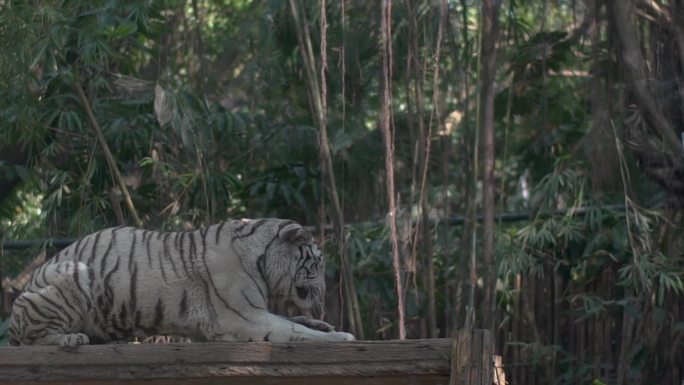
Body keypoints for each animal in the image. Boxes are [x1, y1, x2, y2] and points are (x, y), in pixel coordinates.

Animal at [8, 218, 356, 346]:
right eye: (317, 264)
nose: (324, 291)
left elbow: (296, 321)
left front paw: (324, 325)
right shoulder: (244, 318)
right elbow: (293, 329)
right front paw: (342, 337)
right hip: (72, 275)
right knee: (30, 339)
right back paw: (70, 339)